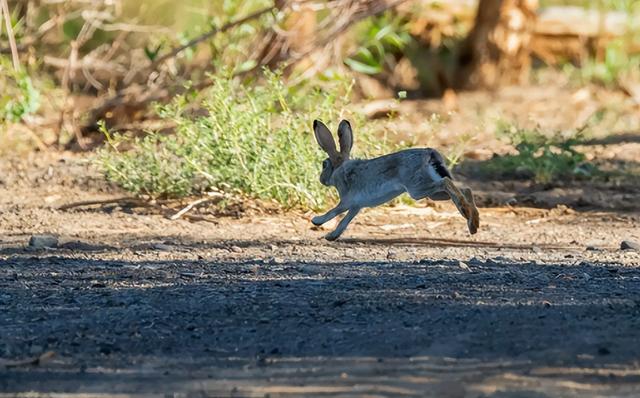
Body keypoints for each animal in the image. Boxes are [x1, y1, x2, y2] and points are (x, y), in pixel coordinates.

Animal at [310, 118, 480, 241]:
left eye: (324, 164)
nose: (321, 179)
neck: (340, 168)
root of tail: (430, 155)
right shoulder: (356, 206)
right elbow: (344, 222)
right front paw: (331, 236)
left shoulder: (347, 201)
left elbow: (333, 212)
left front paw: (316, 220)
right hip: (432, 193)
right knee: (464, 189)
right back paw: (473, 222)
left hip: (417, 189)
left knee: (446, 183)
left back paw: (467, 214)